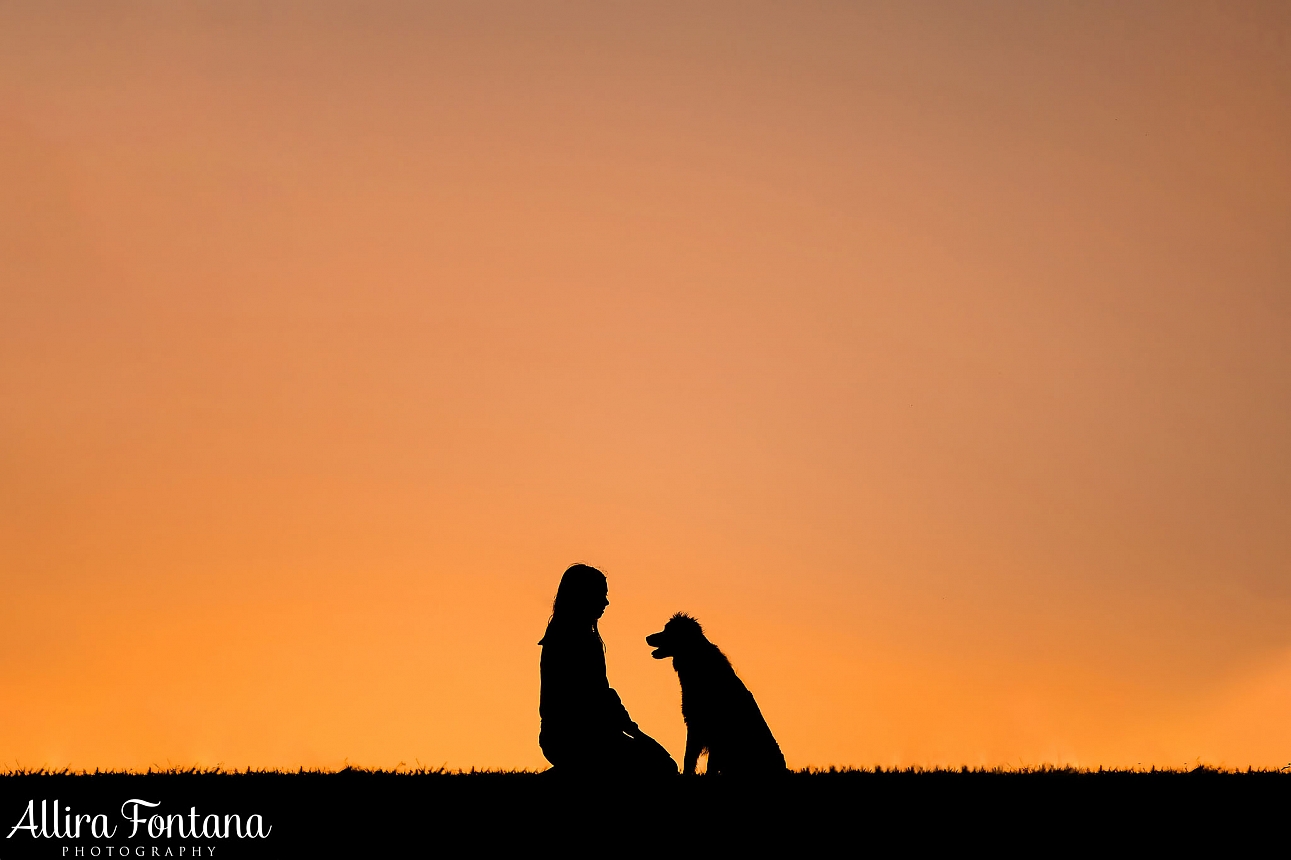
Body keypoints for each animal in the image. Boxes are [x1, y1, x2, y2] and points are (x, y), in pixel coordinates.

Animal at [645, 612, 784, 774]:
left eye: (668, 630)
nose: (647, 637)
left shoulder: (709, 730)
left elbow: (704, 763)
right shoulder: (695, 725)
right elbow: (689, 759)